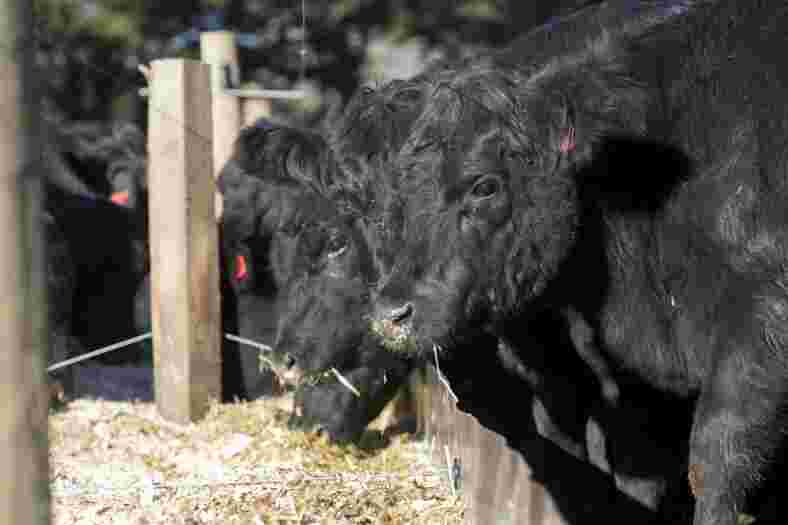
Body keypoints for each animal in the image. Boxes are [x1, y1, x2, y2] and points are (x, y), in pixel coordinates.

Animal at [372, 2, 788, 520]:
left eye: (484, 185)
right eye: (400, 189)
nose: (391, 314)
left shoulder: (761, 323)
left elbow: (714, 460)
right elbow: (635, 469)